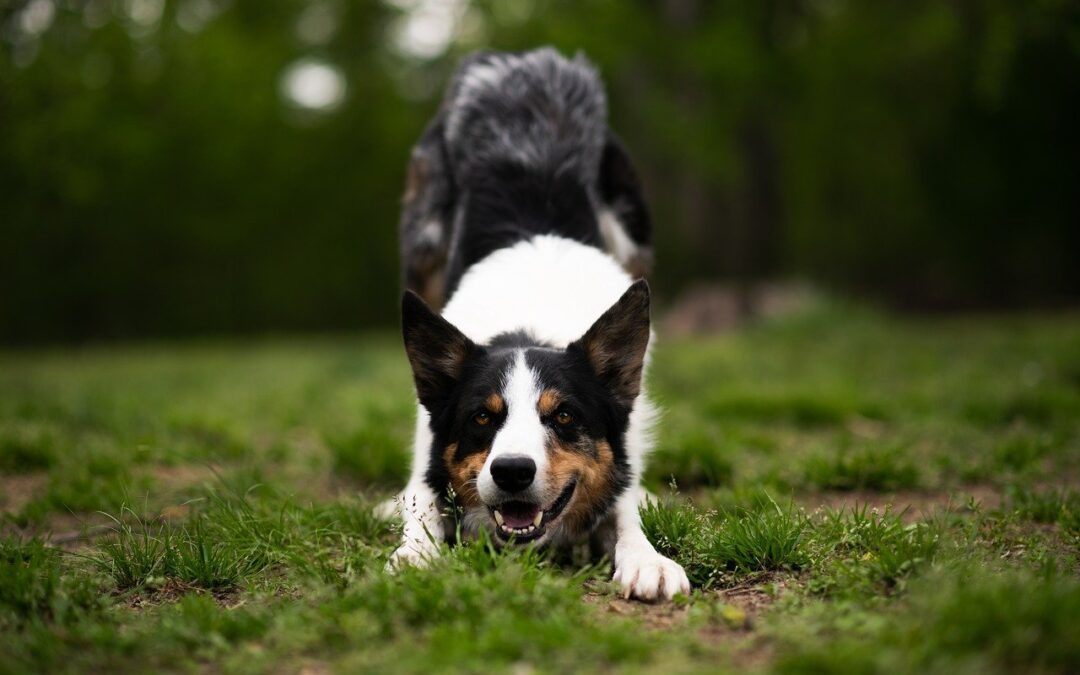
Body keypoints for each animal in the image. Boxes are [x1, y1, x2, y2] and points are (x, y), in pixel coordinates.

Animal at [393, 47, 686, 600]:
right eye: (481, 418)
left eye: (565, 416)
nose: (511, 472)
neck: (526, 323)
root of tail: (522, 59)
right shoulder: (427, 454)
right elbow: (422, 505)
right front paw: (414, 556)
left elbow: (625, 508)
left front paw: (647, 559)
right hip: (423, 240)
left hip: (633, 234)